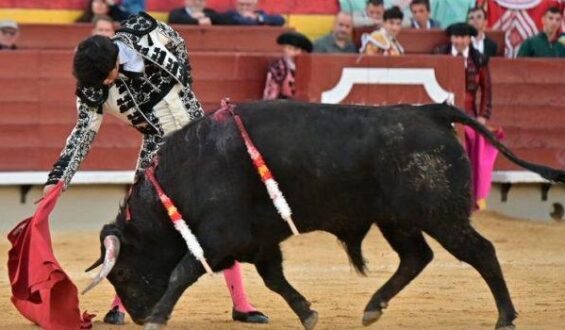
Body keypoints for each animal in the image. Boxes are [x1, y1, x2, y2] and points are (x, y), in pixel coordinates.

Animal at [83, 101, 564, 330]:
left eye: (120, 273)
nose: (138, 315)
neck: (188, 173)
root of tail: (431, 111)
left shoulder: (219, 236)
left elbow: (183, 270)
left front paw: (160, 317)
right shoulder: (260, 241)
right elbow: (275, 280)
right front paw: (307, 313)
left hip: (441, 214)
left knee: (481, 252)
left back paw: (505, 317)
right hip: (398, 220)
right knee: (417, 257)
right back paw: (372, 308)